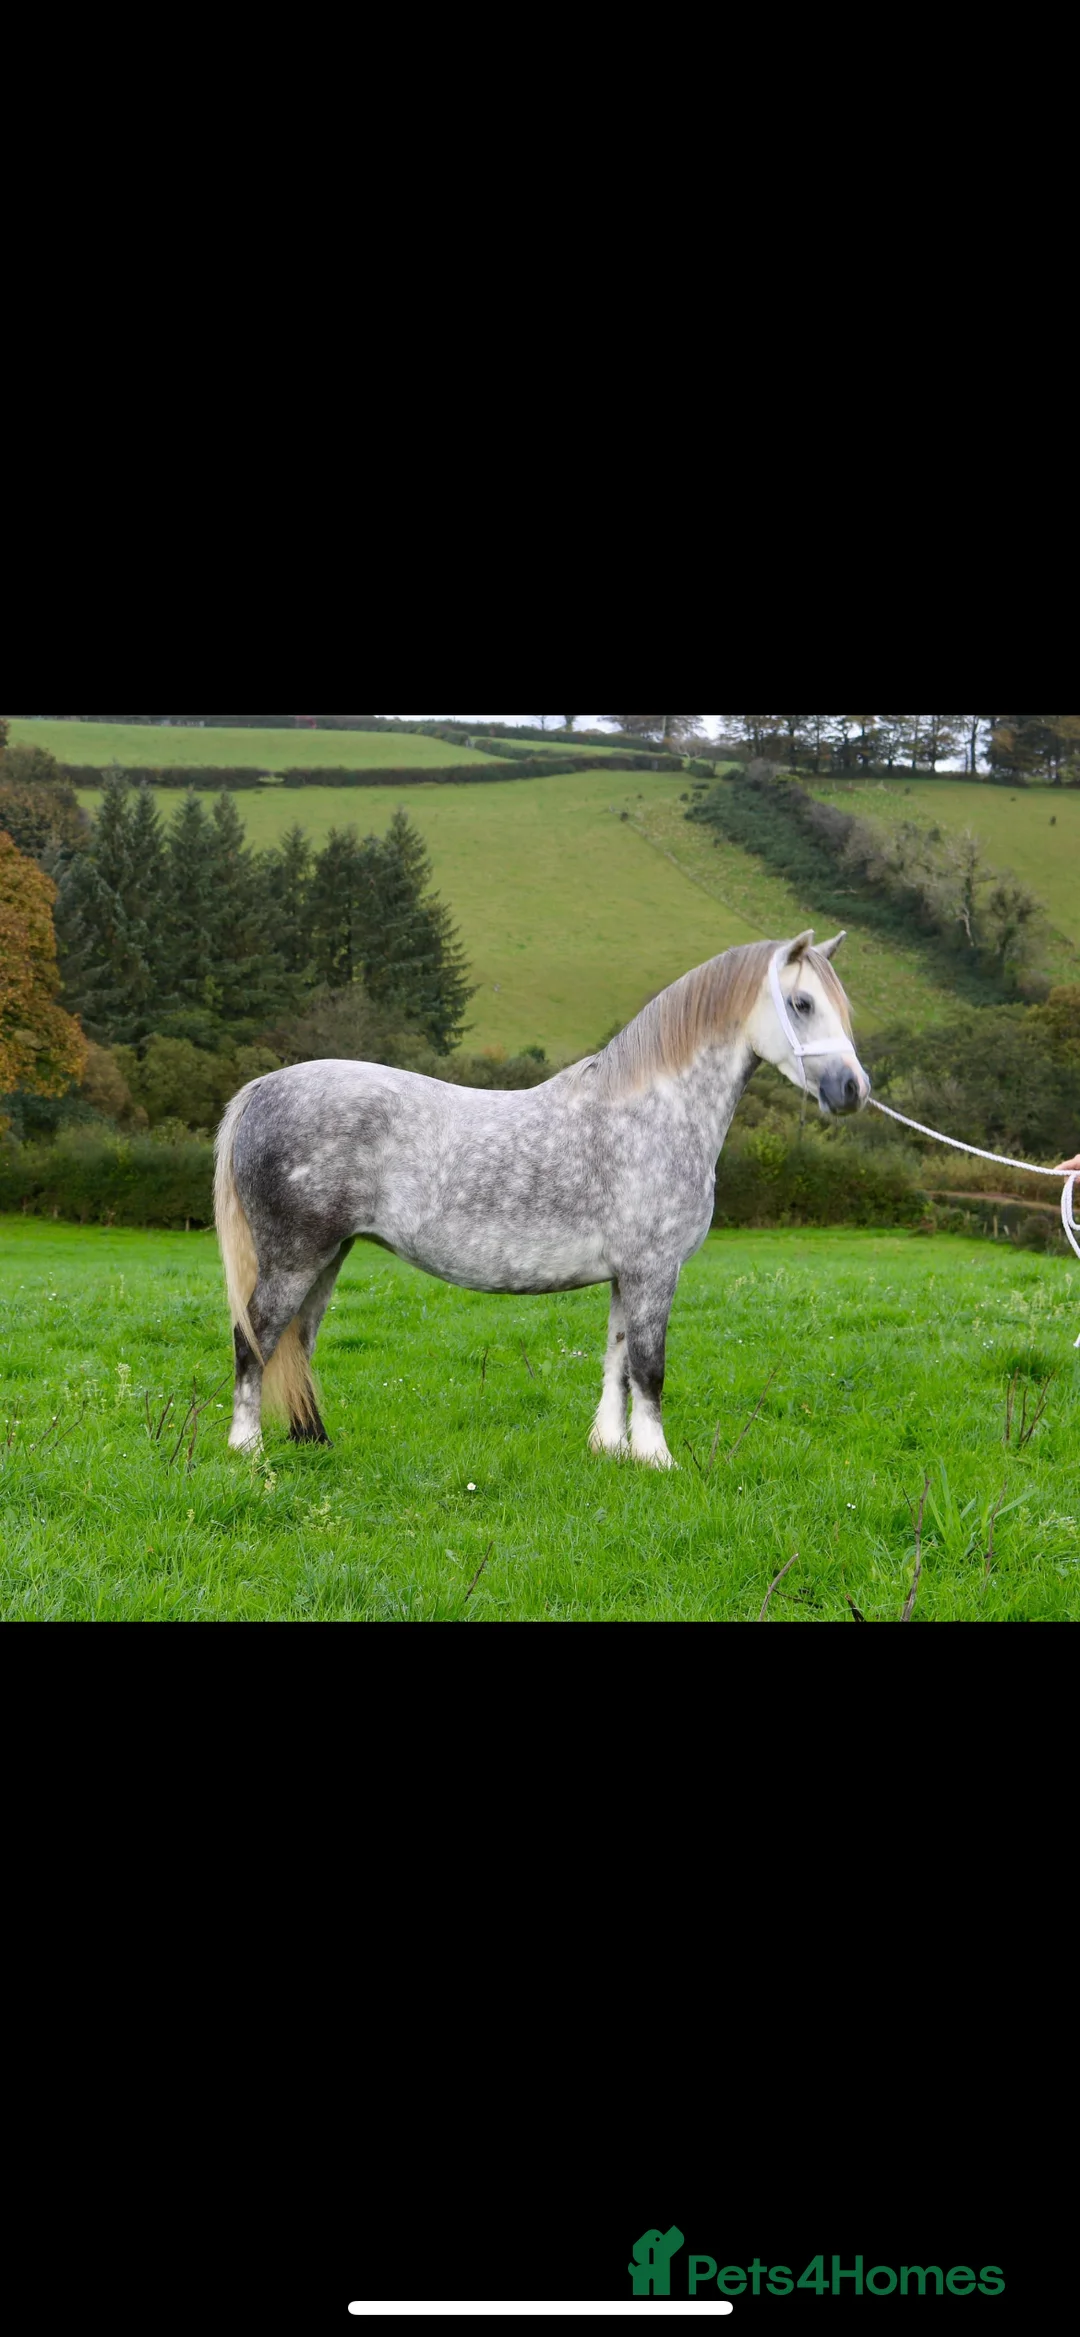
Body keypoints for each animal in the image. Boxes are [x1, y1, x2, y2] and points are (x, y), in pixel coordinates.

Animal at [214, 930, 870, 1467]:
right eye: (802, 1003)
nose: (852, 1090)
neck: (652, 1113)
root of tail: (261, 1089)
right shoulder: (654, 1270)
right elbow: (648, 1368)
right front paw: (658, 1459)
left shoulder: (625, 1275)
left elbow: (616, 1359)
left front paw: (612, 1449)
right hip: (295, 1259)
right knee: (256, 1339)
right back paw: (247, 1450)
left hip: (329, 1257)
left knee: (297, 1343)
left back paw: (313, 1443)